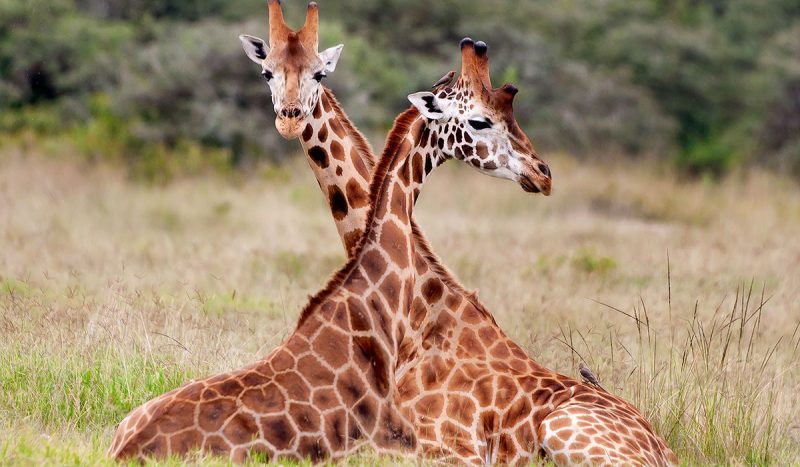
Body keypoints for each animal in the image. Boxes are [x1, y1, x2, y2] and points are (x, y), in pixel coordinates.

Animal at [235, 3, 677, 465]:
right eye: (266, 72)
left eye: (319, 74)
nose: (543, 173)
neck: (418, 309)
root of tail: (663, 448)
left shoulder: (444, 444)